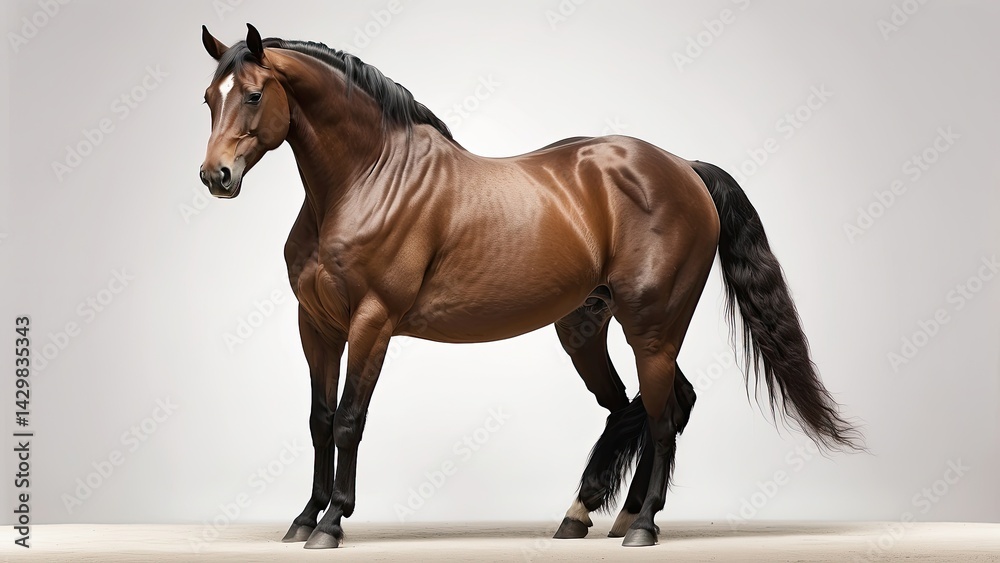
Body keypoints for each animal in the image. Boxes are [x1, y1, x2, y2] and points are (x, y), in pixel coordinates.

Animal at [198, 24, 862, 549]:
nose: (215, 176)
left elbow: (348, 420)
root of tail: (683, 168)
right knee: (647, 406)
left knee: (661, 411)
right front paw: (303, 519)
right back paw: (595, 515)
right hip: (588, 327)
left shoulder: (372, 321)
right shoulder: (316, 324)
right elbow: (317, 419)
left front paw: (333, 523)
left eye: (254, 94)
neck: (369, 178)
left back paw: (643, 526)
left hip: (652, 325)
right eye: (209, 97)